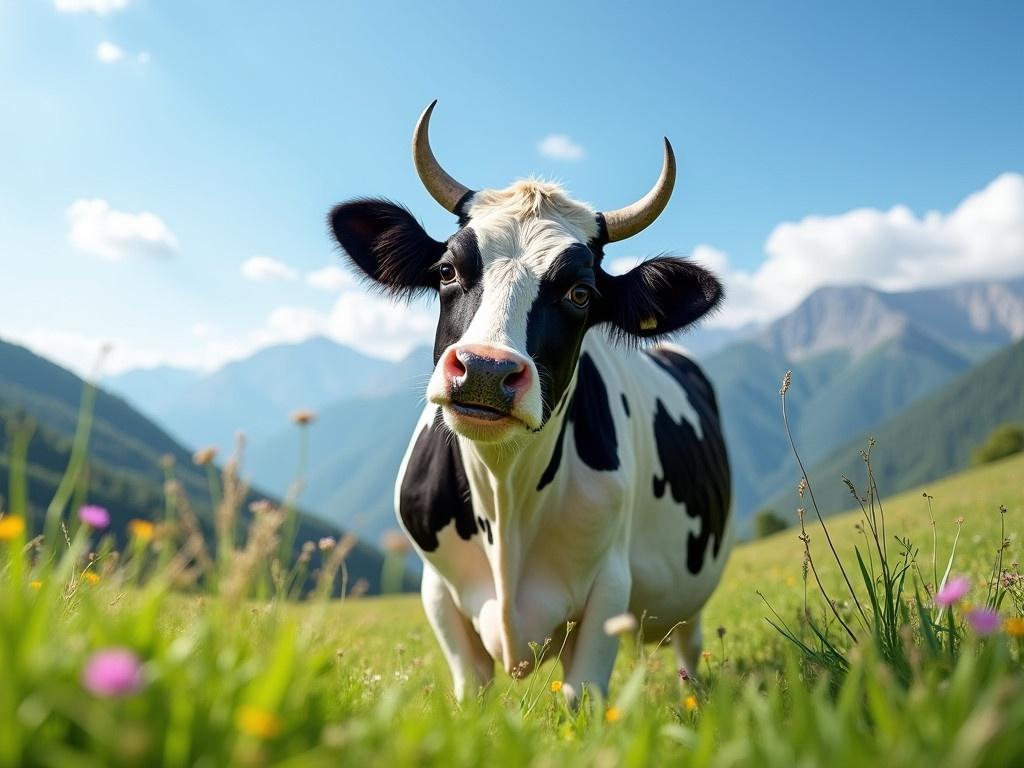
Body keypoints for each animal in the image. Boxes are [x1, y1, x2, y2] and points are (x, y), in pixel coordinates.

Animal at [331, 102, 733, 704]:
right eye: (447, 270)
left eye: (580, 293)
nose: (485, 370)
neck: (505, 496)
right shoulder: (437, 593)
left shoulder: (609, 588)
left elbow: (584, 697)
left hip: (694, 594)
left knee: (689, 646)